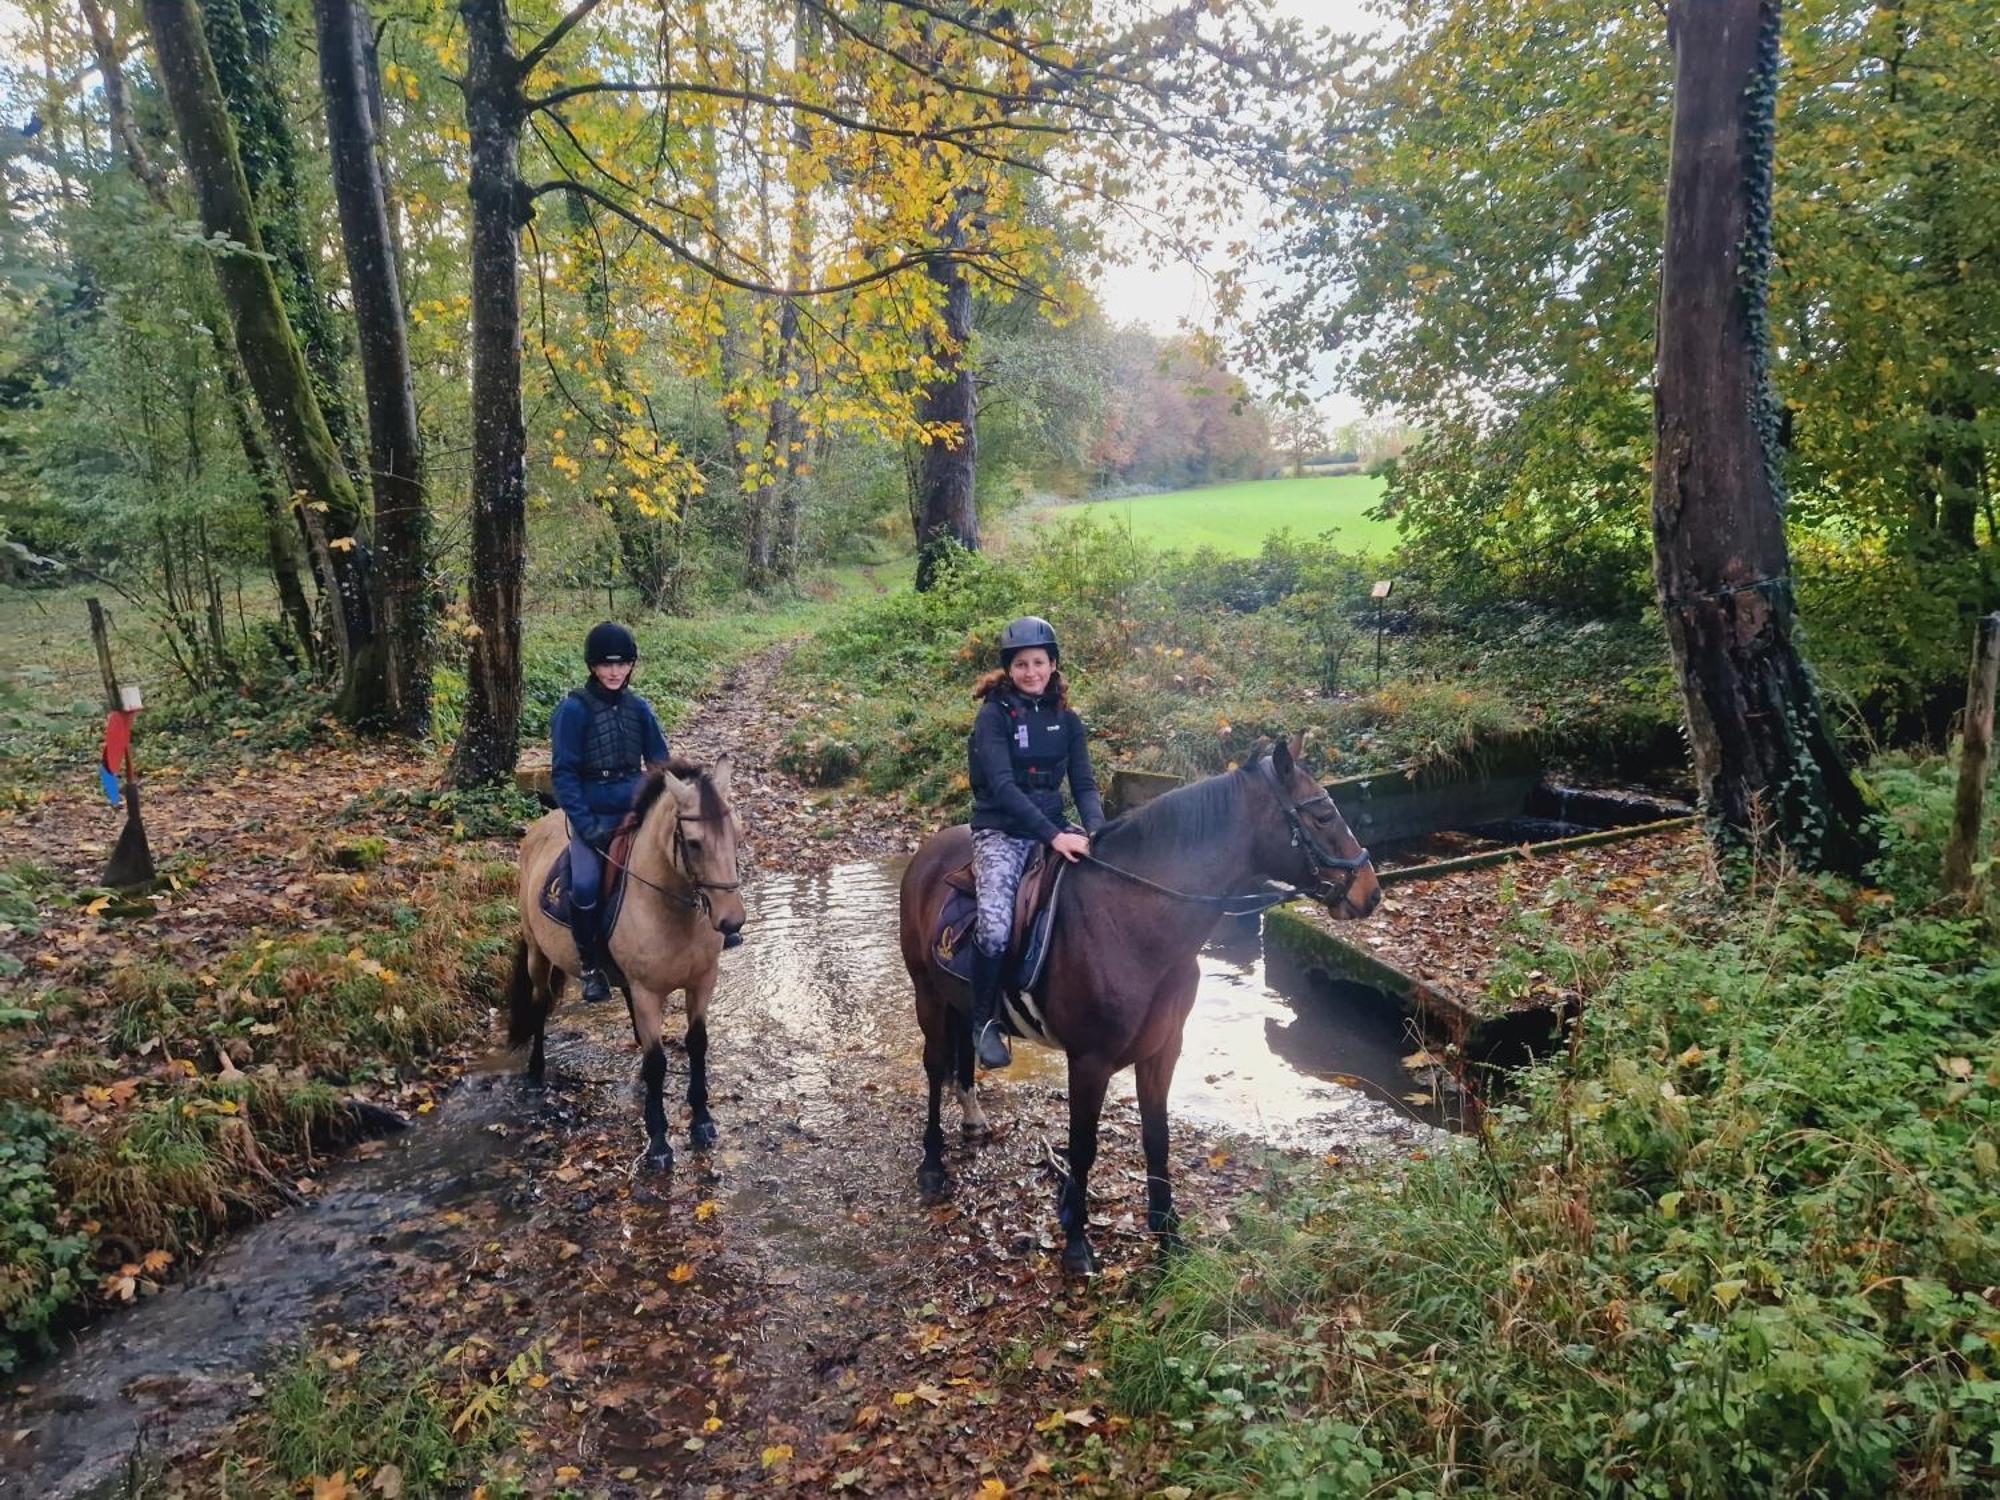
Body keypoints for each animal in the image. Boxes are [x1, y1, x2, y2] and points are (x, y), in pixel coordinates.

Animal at [508, 764, 744, 1176]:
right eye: (694, 843)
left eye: (736, 834)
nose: (732, 921)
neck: (669, 907)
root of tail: (536, 830)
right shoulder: (648, 991)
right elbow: (657, 1062)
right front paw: (659, 1143)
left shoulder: (702, 982)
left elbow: (697, 1045)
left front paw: (701, 1121)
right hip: (538, 953)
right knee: (538, 1005)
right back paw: (535, 1073)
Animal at [904, 736, 1384, 1272]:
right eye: (1322, 814)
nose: (1371, 892)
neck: (1132, 922)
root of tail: (928, 851)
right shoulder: (1089, 1061)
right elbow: (1083, 1146)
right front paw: (1076, 1241)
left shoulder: (1163, 1049)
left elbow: (1158, 1137)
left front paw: (1168, 1235)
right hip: (927, 993)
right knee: (935, 1067)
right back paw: (932, 1165)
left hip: (959, 999)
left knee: (966, 1052)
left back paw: (972, 1118)